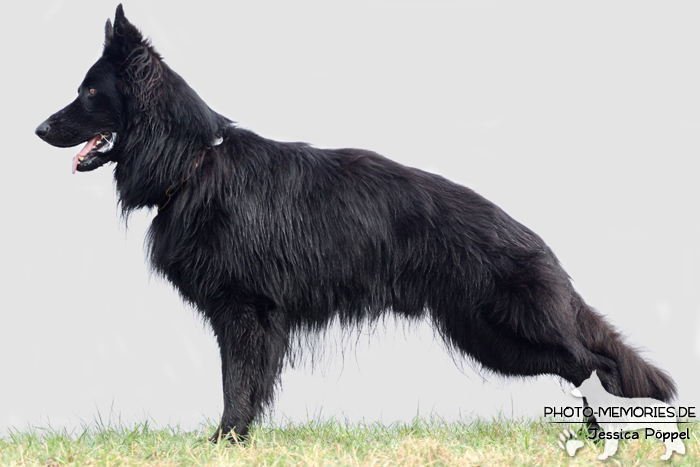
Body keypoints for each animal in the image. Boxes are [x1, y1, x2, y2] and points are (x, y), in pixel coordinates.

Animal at [35, 5, 676, 440]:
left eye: (89, 91)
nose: (38, 129)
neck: (193, 162)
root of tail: (534, 240)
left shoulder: (244, 313)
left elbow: (237, 383)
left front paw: (226, 440)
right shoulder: (248, 318)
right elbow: (246, 383)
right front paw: (239, 439)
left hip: (510, 330)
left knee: (597, 362)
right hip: (488, 337)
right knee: (585, 366)